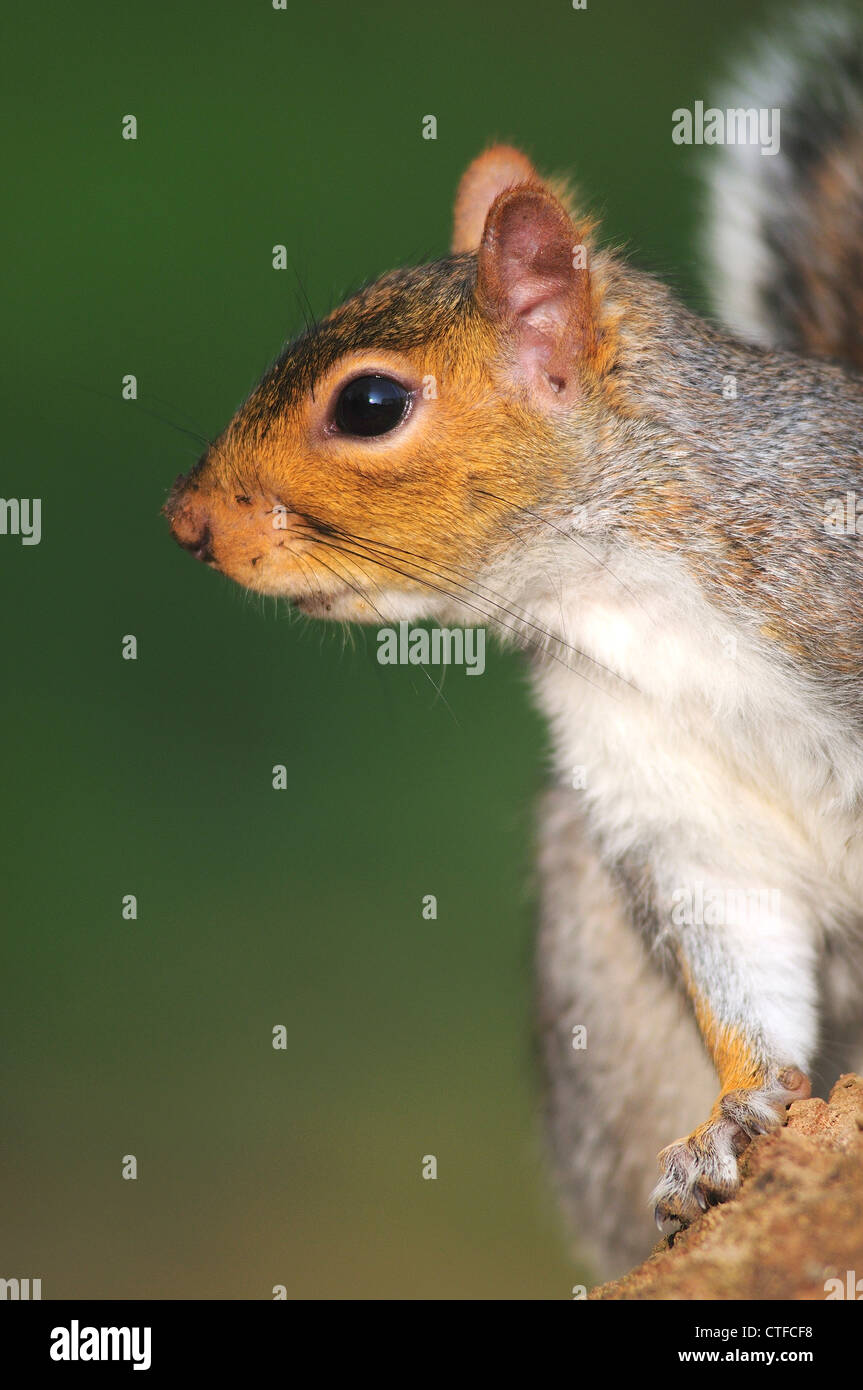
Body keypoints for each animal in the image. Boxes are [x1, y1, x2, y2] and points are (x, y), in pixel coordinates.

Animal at [164, 5, 861, 1273]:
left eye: (369, 405)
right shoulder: (674, 807)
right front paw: (730, 1121)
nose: (186, 521)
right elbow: (742, 976)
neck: (616, 594)